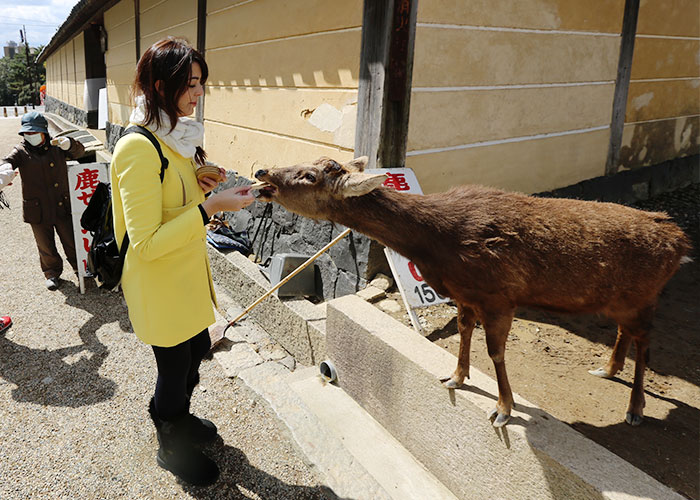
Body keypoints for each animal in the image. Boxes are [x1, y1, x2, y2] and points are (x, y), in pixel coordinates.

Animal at [252, 155, 688, 426]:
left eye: (310, 175)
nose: (262, 172)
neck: (437, 245)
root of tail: (680, 241)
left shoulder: (500, 294)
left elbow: (494, 352)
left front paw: (503, 409)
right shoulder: (464, 293)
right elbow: (463, 332)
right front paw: (455, 378)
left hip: (645, 294)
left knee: (646, 342)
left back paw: (635, 408)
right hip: (621, 300)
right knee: (626, 332)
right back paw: (608, 370)